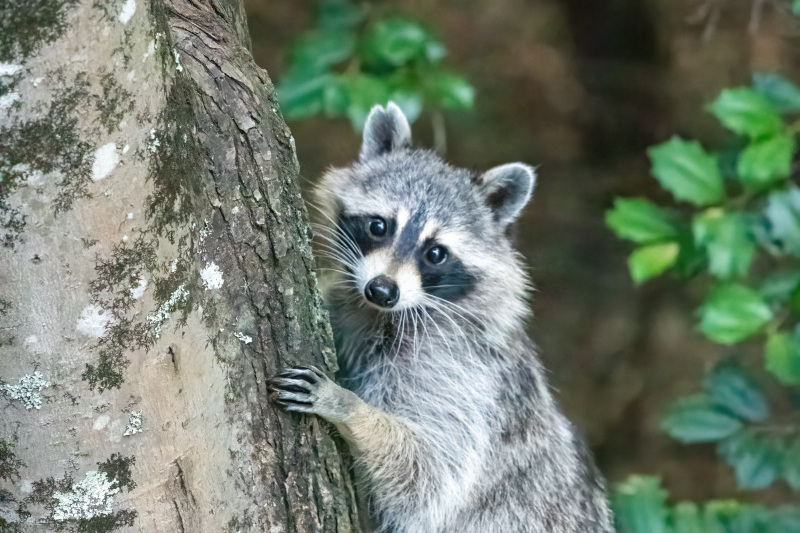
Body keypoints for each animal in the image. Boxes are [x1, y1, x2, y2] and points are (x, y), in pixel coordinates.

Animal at [268, 102, 612, 528]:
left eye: (435, 253)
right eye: (379, 225)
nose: (382, 290)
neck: (389, 314)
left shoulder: (464, 374)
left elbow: (430, 472)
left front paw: (349, 407)